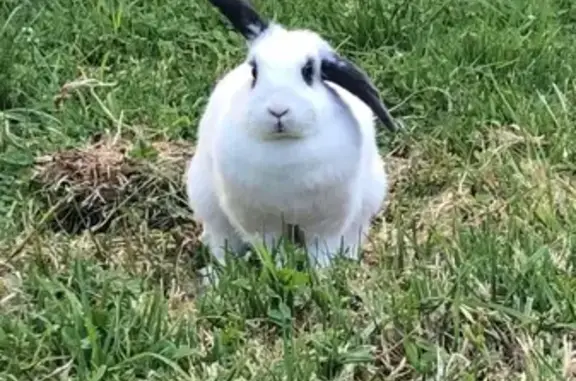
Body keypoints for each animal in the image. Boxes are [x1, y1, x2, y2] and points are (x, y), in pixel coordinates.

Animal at [187, 0, 398, 284]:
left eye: (308, 71)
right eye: (254, 72)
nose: (278, 110)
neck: (285, 145)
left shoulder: (328, 224)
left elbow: (322, 253)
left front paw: (322, 279)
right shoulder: (263, 224)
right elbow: (274, 252)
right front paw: (280, 272)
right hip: (209, 207)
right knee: (223, 244)